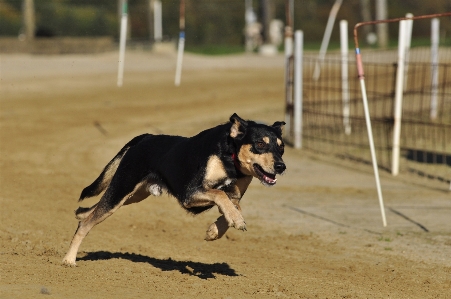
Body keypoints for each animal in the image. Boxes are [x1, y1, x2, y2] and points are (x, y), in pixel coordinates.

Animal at [62, 113, 286, 266]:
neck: (230, 158)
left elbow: (232, 206)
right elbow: (220, 194)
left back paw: (80, 216)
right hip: (121, 189)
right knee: (86, 224)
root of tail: (145, 137)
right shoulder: (190, 193)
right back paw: (69, 259)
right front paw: (235, 221)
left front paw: (215, 230)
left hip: (133, 195)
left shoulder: (235, 196)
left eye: (281, 147)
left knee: (89, 213)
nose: (281, 167)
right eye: (260, 144)